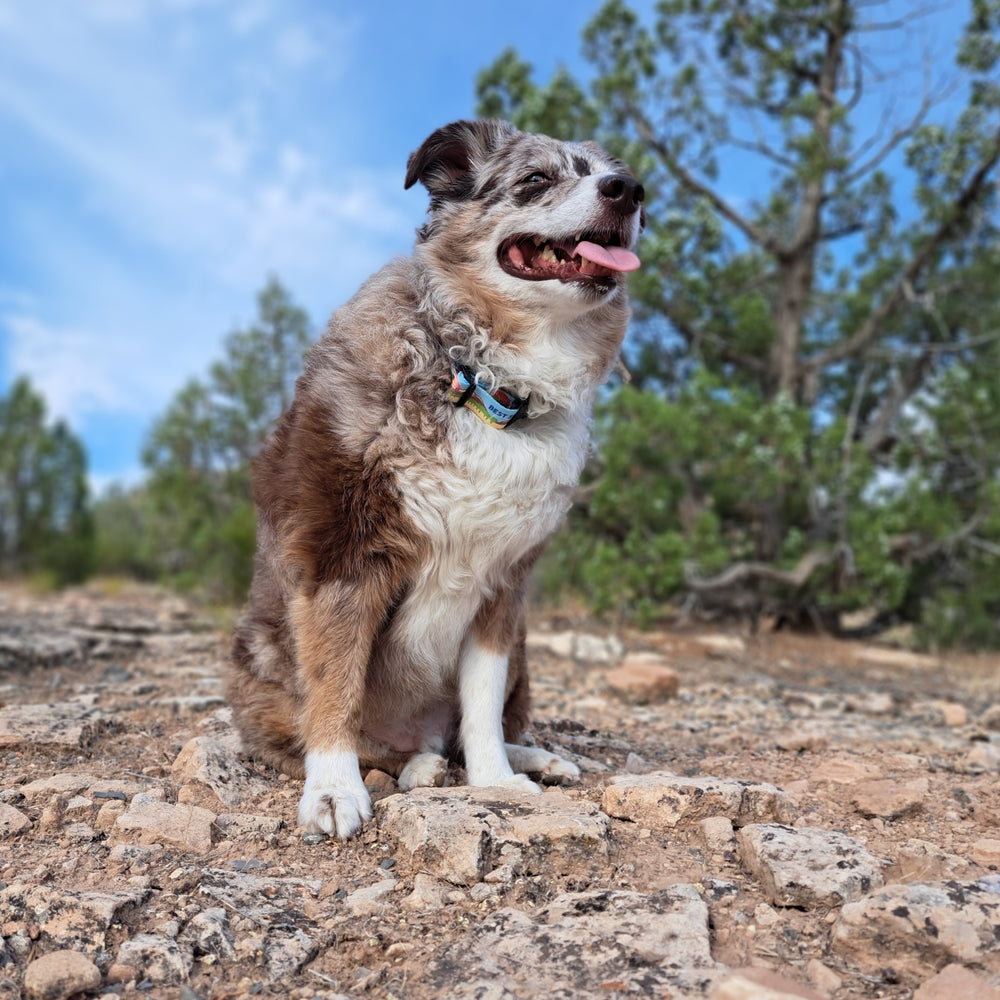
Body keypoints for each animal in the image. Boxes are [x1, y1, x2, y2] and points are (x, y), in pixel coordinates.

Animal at [229, 119, 640, 836]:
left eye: (607, 173)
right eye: (535, 178)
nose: (630, 190)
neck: (484, 383)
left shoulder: (503, 587)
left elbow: (481, 706)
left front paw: (495, 781)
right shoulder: (345, 557)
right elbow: (335, 686)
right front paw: (333, 790)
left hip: (525, 648)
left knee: (476, 726)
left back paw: (527, 756)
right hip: (258, 669)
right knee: (353, 736)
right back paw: (414, 765)